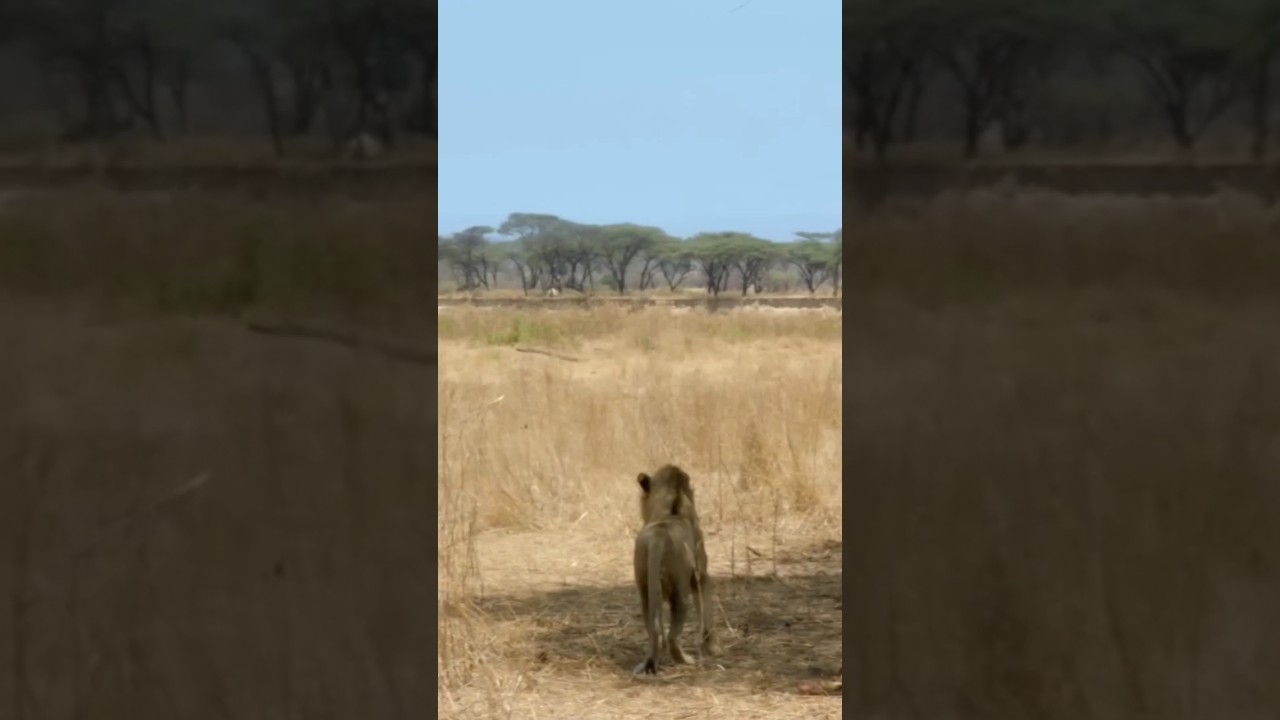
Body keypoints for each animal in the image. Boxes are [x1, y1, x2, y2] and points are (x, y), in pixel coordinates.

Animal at [632, 464, 717, 675]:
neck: (671, 508)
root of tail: (658, 538)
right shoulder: (700, 577)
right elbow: (705, 611)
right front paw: (710, 648)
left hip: (645, 591)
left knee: (654, 631)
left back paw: (647, 665)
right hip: (680, 593)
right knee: (671, 637)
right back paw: (687, 660)